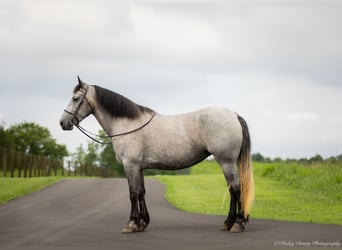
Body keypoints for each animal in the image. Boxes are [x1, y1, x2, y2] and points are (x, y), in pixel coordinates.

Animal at [60, 77, 254, 233]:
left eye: (75, 98)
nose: (63, 122)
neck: (127, 124)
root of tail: (234, 115)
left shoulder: (130, 166)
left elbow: (132, 193)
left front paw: (131, 224)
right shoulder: (139, 168)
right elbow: (141, 192)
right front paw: (143, 223)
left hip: (226, 161)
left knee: (236, 189)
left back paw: (236, 224)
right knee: (234, 189)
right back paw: (230, 223)